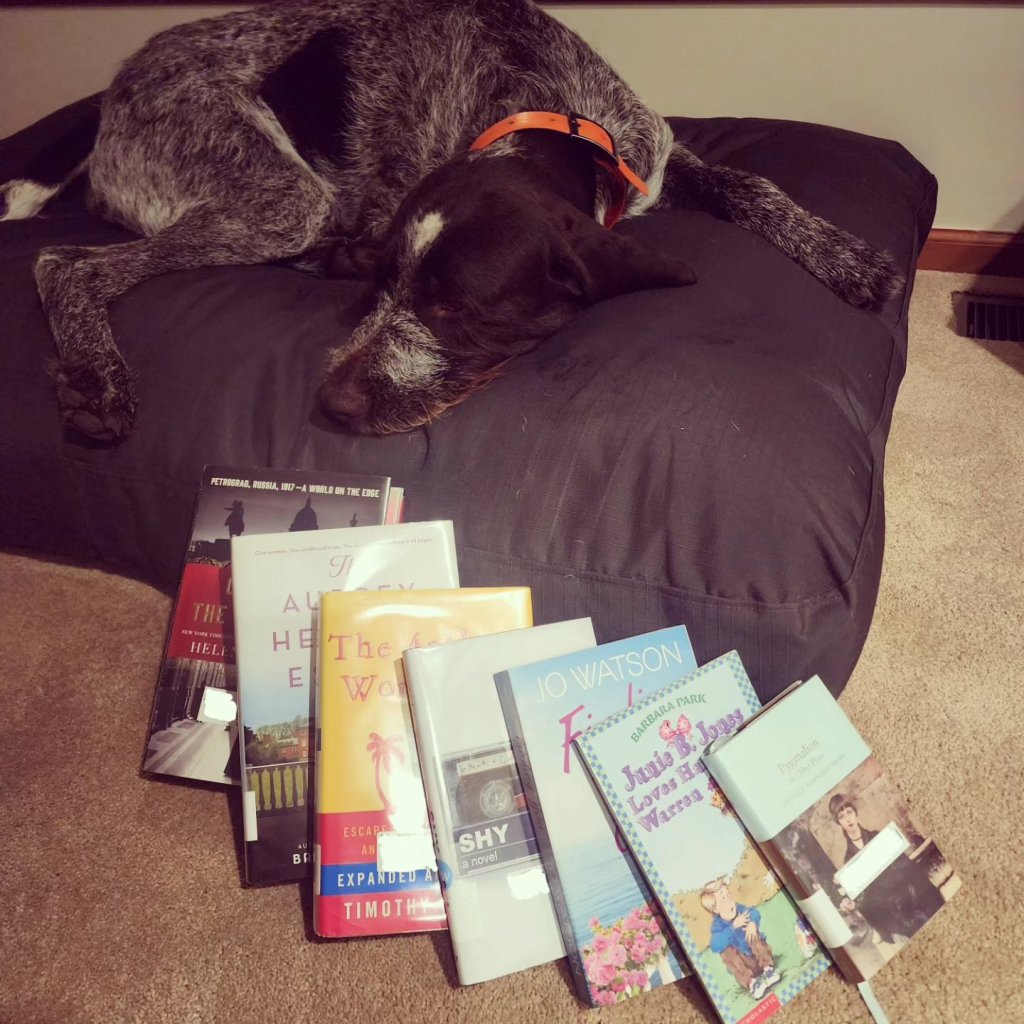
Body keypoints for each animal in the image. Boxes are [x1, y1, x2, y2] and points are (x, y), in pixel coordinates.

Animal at [1, 0, 901, 440]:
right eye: (389, 293)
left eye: (454, 307)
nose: (333, 402)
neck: (548, 115)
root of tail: (111, 96)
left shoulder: (647, 162)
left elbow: (751, 184)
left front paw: (848, 258)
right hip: (278, 196)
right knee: (63, 263)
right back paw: (97, 377)